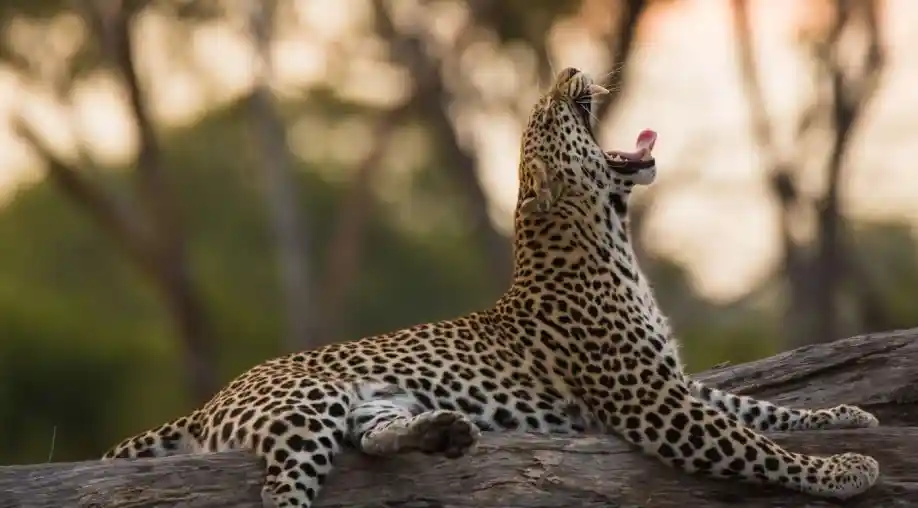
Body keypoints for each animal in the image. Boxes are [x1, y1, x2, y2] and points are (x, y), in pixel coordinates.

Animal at [102, 67, 880, 506]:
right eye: (545, 113)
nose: (569, 67)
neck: (611, 236)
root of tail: (211, 400)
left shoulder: (669, 382)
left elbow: (758, 407)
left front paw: (846, 416)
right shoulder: (650, 402)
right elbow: (757, 446)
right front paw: (845, 470)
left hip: (370, 403)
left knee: (374, 439)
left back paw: (443, 431)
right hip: (304, 412)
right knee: (284, 490)